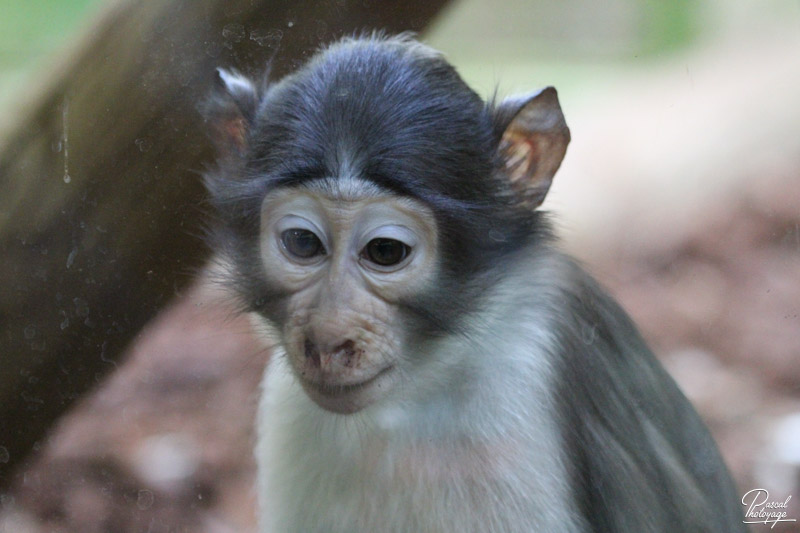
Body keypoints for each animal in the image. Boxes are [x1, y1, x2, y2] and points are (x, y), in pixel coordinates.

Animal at [205, 34, 744, 532]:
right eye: (302, 243)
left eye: (385, 251)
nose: (327, 338)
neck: (420, 388)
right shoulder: (289, 405)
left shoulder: (522, 384)